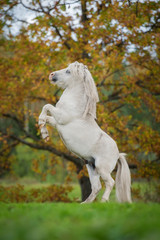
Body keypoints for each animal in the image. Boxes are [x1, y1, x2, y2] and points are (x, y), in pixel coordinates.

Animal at [38, 61, 131, 202]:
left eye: (68, 71)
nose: (51, 75)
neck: (75, 105)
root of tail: (118, 154)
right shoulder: (57, 122)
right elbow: (47, 117)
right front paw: (44, 133)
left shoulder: (62, 118)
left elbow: (47, 106)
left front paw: (41, 124)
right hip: (91, 167)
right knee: (97, 187)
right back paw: (85, 203)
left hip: (102, 168)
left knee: (110, 182)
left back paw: (103, 201)